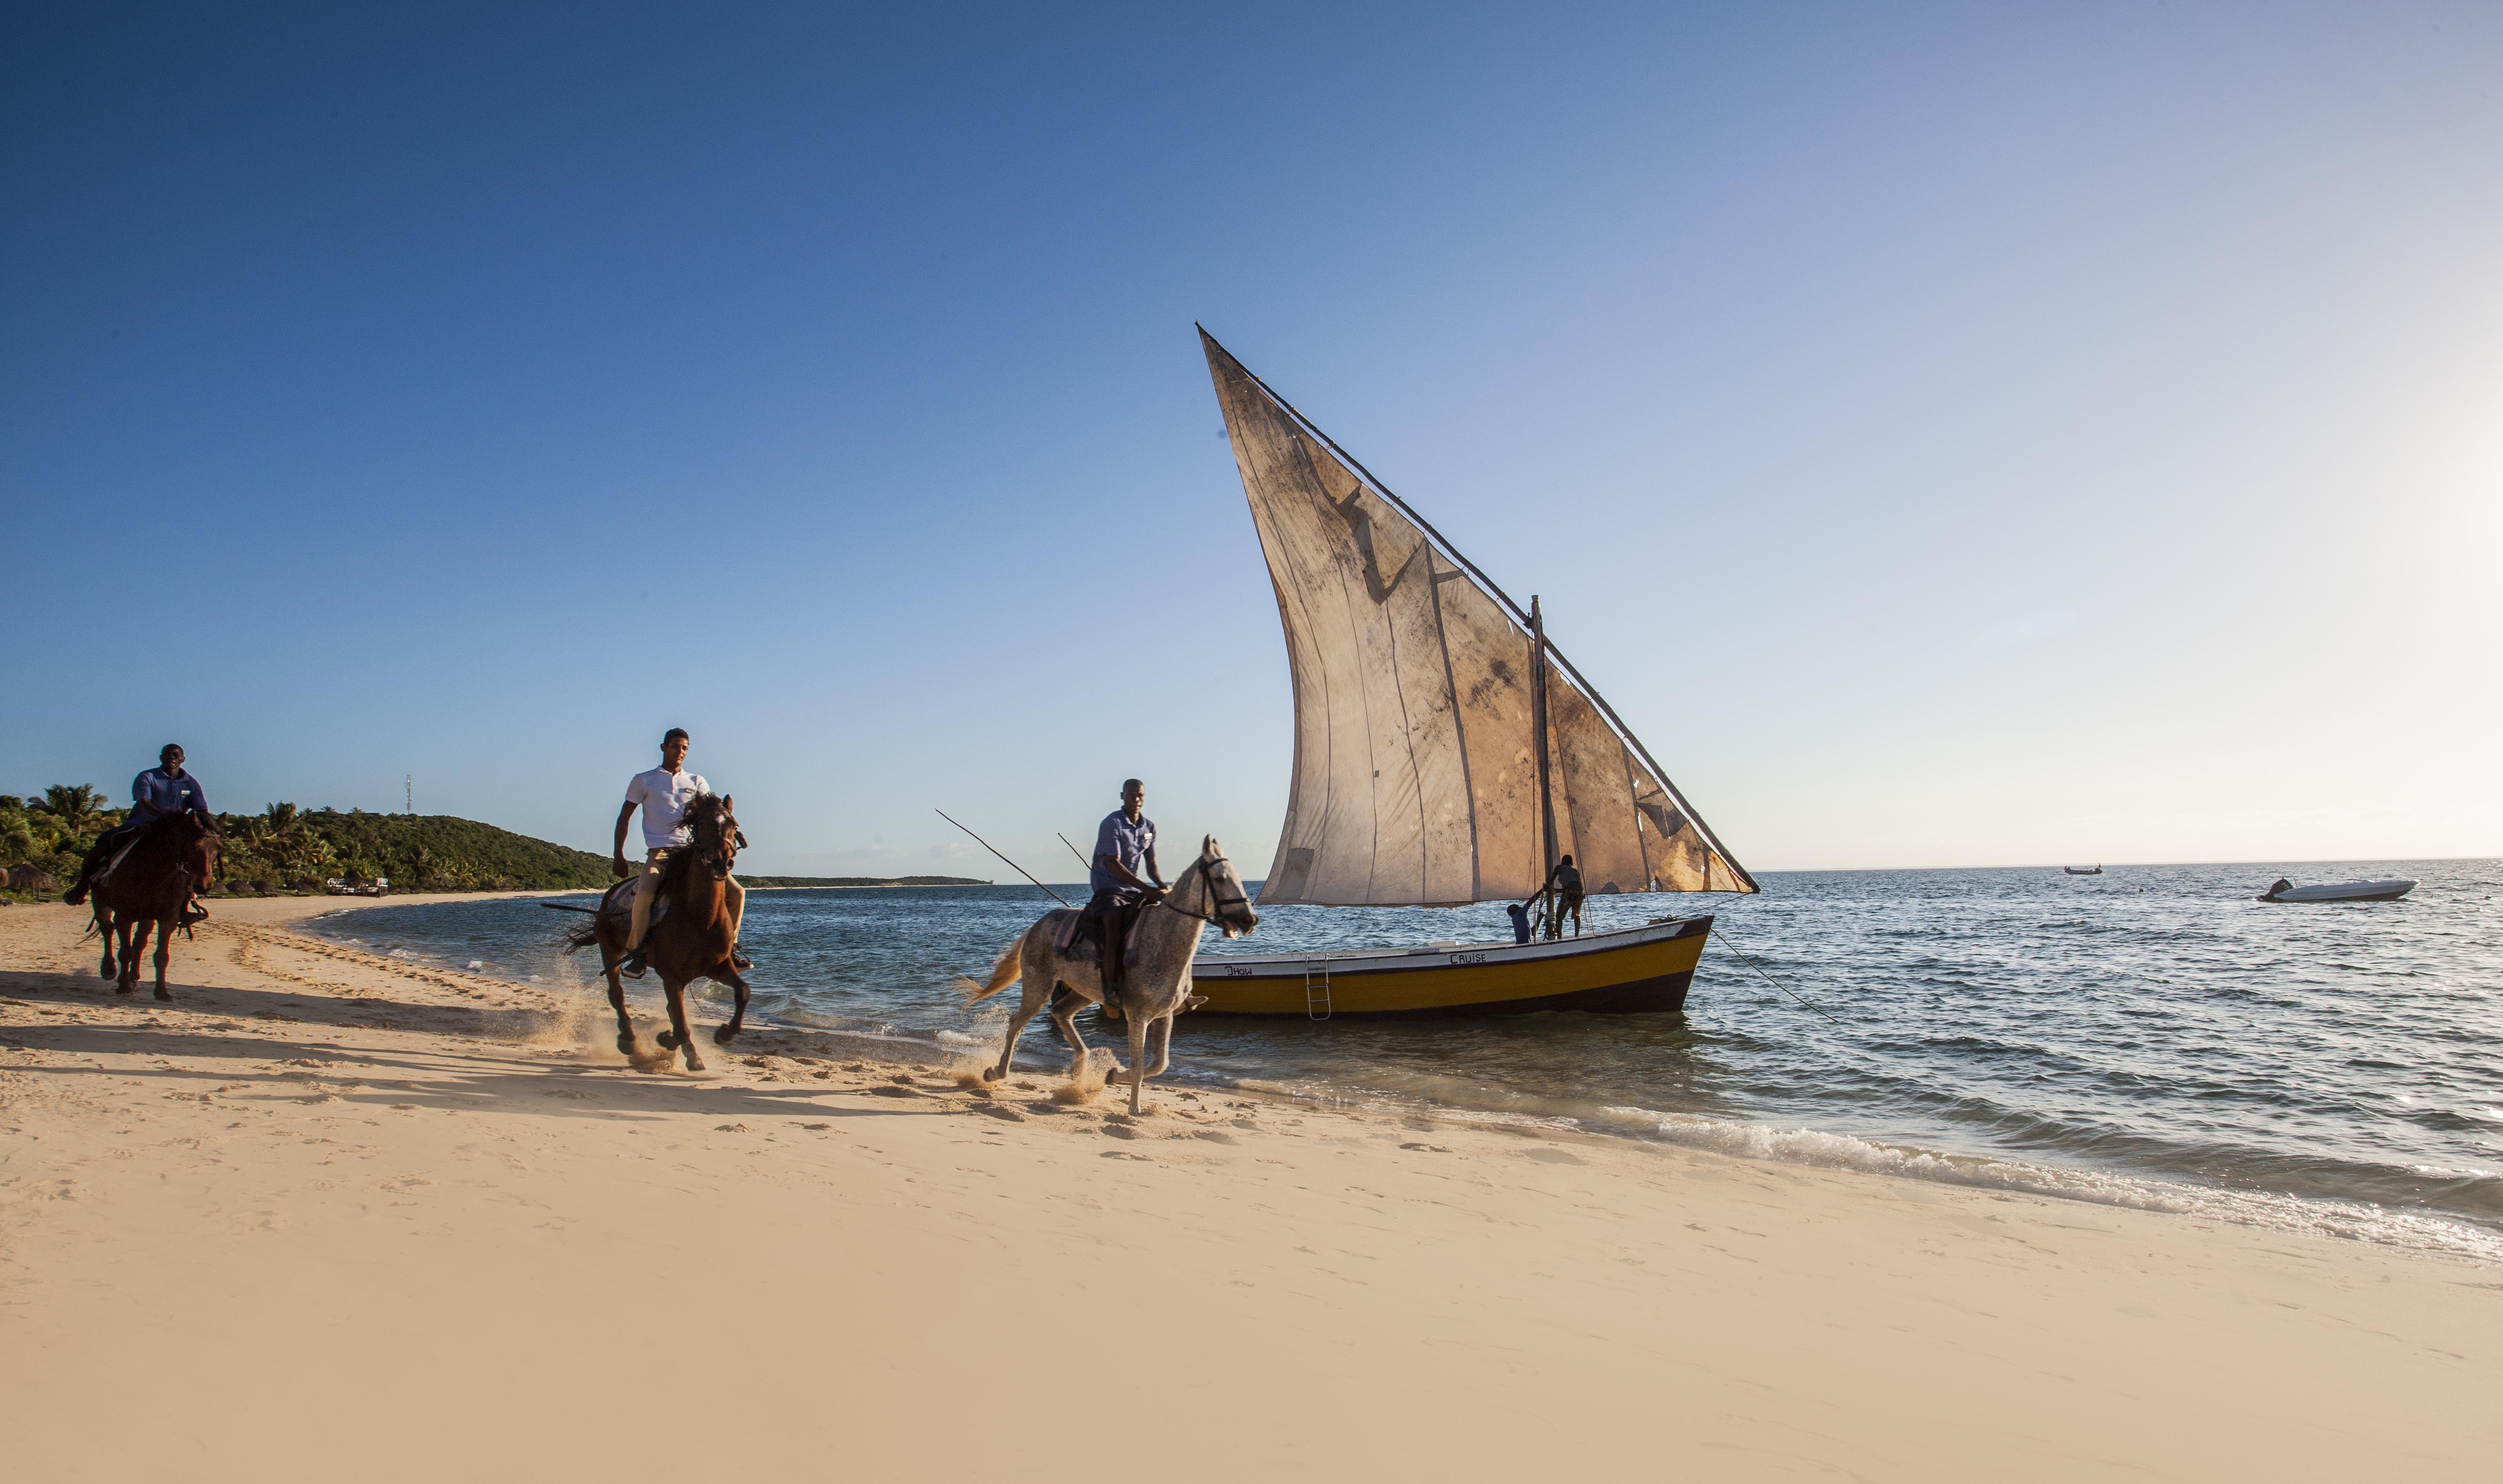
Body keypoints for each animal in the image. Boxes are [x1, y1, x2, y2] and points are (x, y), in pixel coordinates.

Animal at [88, 815, 221, 1001]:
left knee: (139, 942)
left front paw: (162, 992)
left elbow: (161, 956)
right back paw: (110, 969)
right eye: (195, 846)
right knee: (107, 929)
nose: (205, 886)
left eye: (218, 848)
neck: (154, 872)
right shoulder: (124, 917)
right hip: (100, 902)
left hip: (147, 917)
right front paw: (124, 986)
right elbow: (125, 952)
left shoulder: (168, 918)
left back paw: (134, 976)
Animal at [568, 790, 751, 1071]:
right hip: (610, 950)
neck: (700, 917)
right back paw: (629, 1042)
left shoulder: (718, 967)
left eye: (734, 825)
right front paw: (685, 1051)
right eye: (701, 824)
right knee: (617, 995)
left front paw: (723, 1034)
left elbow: (742, 993)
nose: (721, 861)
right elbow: (681, 1023)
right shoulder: (671, 975)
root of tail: (611, 892)